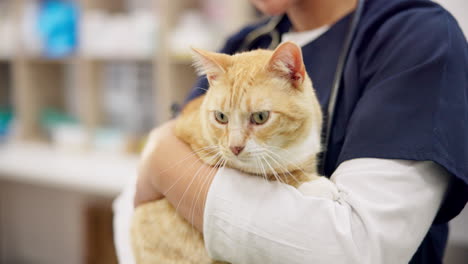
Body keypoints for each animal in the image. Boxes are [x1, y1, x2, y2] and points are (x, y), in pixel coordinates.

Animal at [130, 42, 328, 262]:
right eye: (221, 117)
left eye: (260, 117)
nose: (235, 147)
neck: (290, 148)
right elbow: (275, 173)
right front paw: (318, 185)